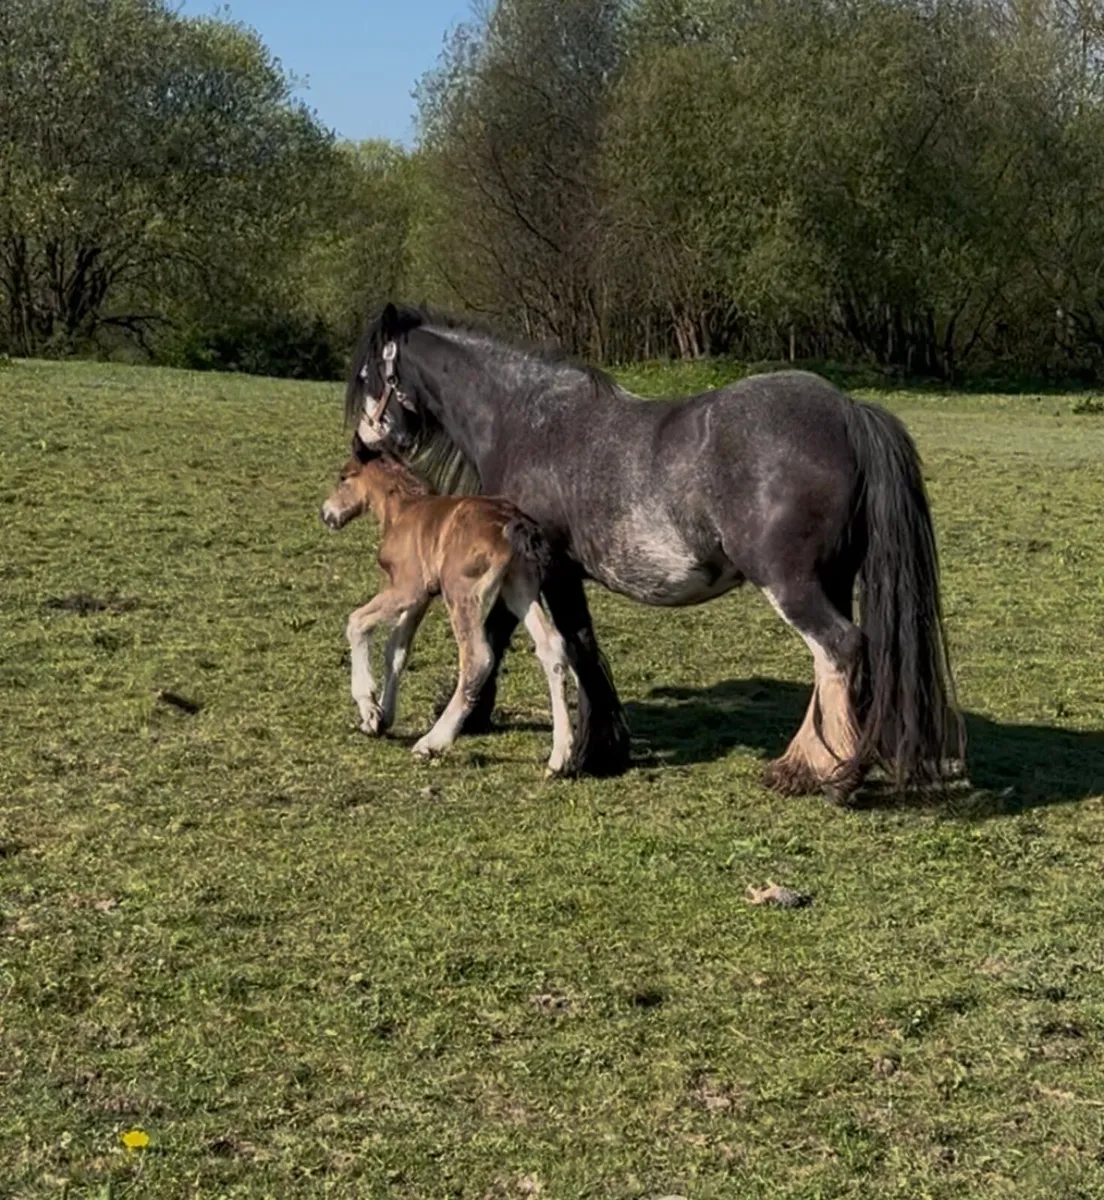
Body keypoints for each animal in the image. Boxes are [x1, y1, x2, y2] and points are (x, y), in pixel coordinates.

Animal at [320, 448, 575, 775]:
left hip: (462, 594)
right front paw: (382, 717)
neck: (402, 509)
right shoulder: (422, 597)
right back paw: (560, 757)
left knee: (477, 657)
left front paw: (368, 707)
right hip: (520, 588)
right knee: (551, 648)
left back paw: (431, 743)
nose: (327, 513)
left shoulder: (408, 588)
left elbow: (357, 622)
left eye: (343, 477)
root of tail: (515, 525)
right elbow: (396, 650)